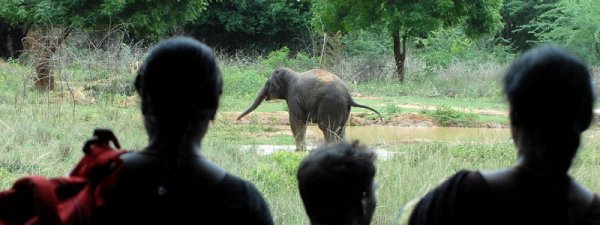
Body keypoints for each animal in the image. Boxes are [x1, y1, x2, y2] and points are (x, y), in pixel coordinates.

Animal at [236, 67, 382, 151]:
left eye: (268, 84)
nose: (237, 120)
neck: (291, 74)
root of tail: (349, 96)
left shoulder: (294, 96)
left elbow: (296, 121)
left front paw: (299, 151)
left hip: (331, 104)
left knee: (327, 128)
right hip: (343, 109)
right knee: (340, 130)